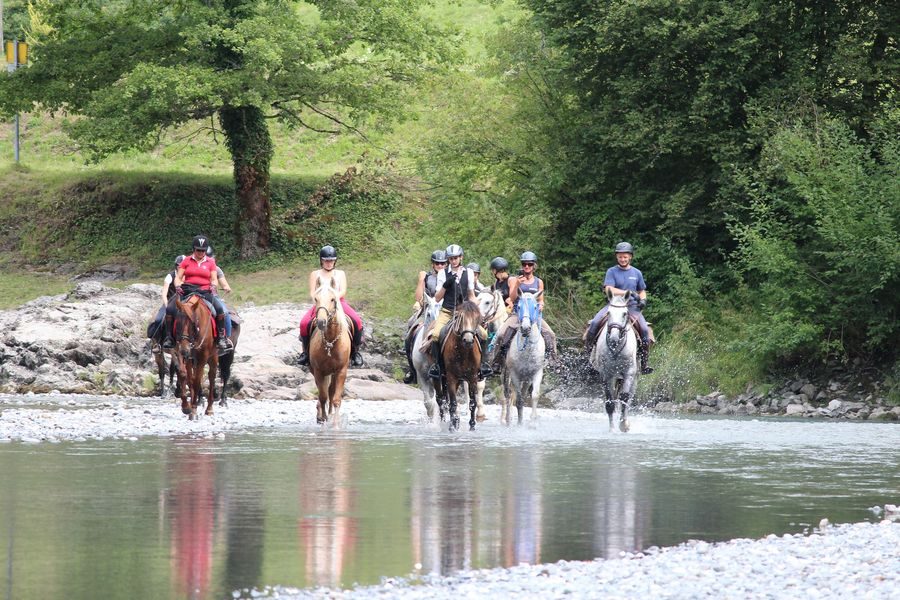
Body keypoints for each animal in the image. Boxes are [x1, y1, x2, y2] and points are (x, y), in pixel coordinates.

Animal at [175, 292, 219, 420]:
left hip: (214, 357)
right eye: (177, 323)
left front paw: (193, 410)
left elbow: (197, 380)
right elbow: (189, 378)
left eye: (192, 323)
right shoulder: (188, 357)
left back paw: (209, 408)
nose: (184, 349)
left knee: (211, 376)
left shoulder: (202, 357)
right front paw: (187, 407)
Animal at [310, 280, 352, 426]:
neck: (330, 341)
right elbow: (323, 396)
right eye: (316, 299)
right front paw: (323, 418)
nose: (321, 322)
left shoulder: (341, 371)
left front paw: (335, 423)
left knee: (331, 391)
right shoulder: (318, 371)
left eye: (333, 299)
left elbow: (336, 399)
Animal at [438, 300, 486, 432]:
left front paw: (472, 425)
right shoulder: (451, 378)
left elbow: (473, 403)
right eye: (461, 317)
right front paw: (452, 426)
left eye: (477, 318)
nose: (468, 340)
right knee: (443, 400)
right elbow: (453, 403)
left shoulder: (473, 378)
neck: (463, 352)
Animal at [496, 292, 544, 426]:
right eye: (518, 307)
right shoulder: (515, 375)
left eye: (535, 307)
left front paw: (532, 420)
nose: (525, 328)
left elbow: (534, 395)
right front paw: (519, 424)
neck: (528, 351)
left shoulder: (537, 372)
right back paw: (507, 420)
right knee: (508, 395)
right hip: (505, 374)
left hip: (526, 379)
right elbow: (518, 399)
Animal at [588, 290, 636, 432]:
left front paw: (623, 425)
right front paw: (612, 429)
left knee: (629, 398)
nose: (614, 338)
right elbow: (610, 403)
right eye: (608, 313)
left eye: (624, 313)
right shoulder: (606, 375)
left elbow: (624, 398)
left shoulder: (629, 373)